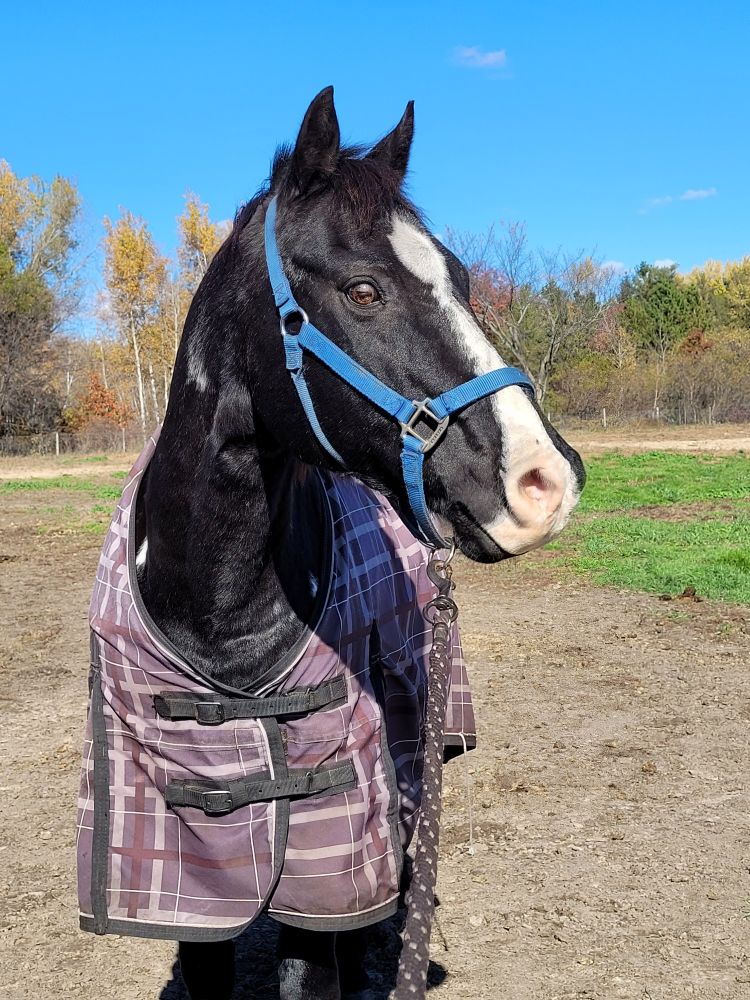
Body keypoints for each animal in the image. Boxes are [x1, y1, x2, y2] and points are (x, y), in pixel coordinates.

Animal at [77, 87, 584, 1000]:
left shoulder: (330, 862)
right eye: (363, 289)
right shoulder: (194, 884)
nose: (546, 480)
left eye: (462, 279)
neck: (216, 608)